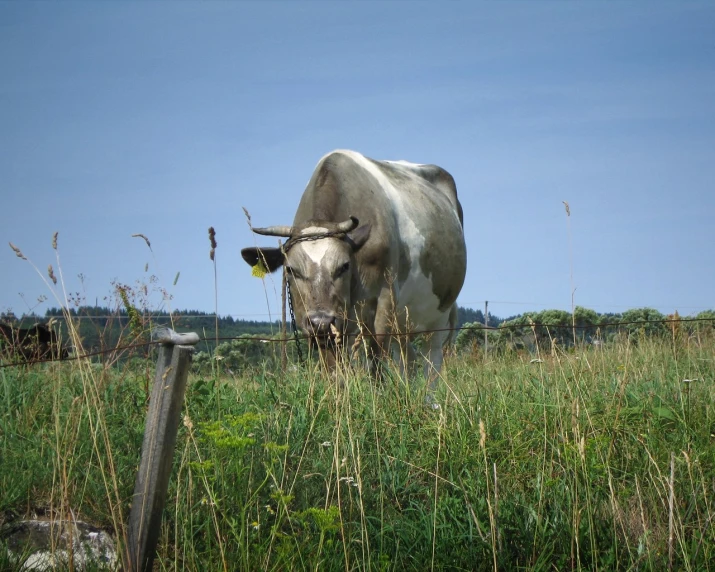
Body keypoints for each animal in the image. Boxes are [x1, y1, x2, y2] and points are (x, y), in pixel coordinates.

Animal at [243, 147, 468, 398]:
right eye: (291, 270)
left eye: (344, 266)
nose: (321, 320)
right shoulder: (321, 324)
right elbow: (333, 368)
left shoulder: (384, 296)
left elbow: (376, 358)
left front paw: (377, 397)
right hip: (402, 321)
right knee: (407, 357)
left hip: (440, 311)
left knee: (432, 360)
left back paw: (429, 400)